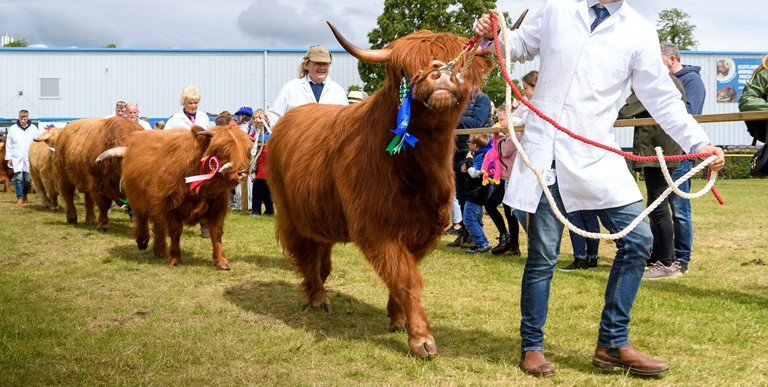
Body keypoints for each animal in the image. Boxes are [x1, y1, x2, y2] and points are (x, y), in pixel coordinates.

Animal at [268, 22, 500, 360]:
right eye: (406, 69)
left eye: (459, 63)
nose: (441, 75)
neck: (416, 170)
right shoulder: (375, 227)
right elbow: (406, 278)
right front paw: (422, 339)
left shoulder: (425, 228)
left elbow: (402, 274)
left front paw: (399, 318)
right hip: (290, 211)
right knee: (307, 253)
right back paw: (317, 297)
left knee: (321, 253)